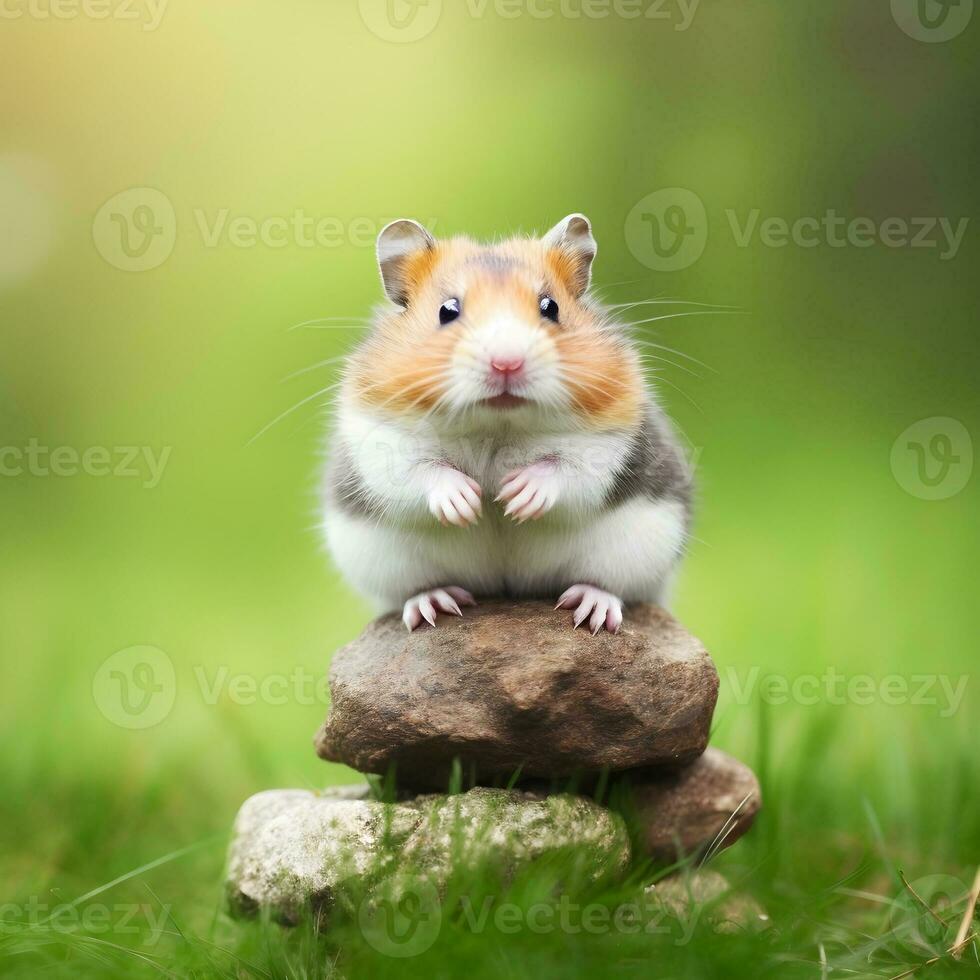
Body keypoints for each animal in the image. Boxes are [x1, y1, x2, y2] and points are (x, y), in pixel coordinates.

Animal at [322, 212, 688, 636]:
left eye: (550, 307)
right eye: (447, 310)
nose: (507, 363)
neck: (497, 423)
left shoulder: (606, 439)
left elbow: (567, 468)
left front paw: (514, 497)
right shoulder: (381, 438)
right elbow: (421, 472)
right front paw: (469, 502)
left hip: (638, 550)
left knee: (614, 588)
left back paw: (591, 608)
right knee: (413, 592)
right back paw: (434, 604)